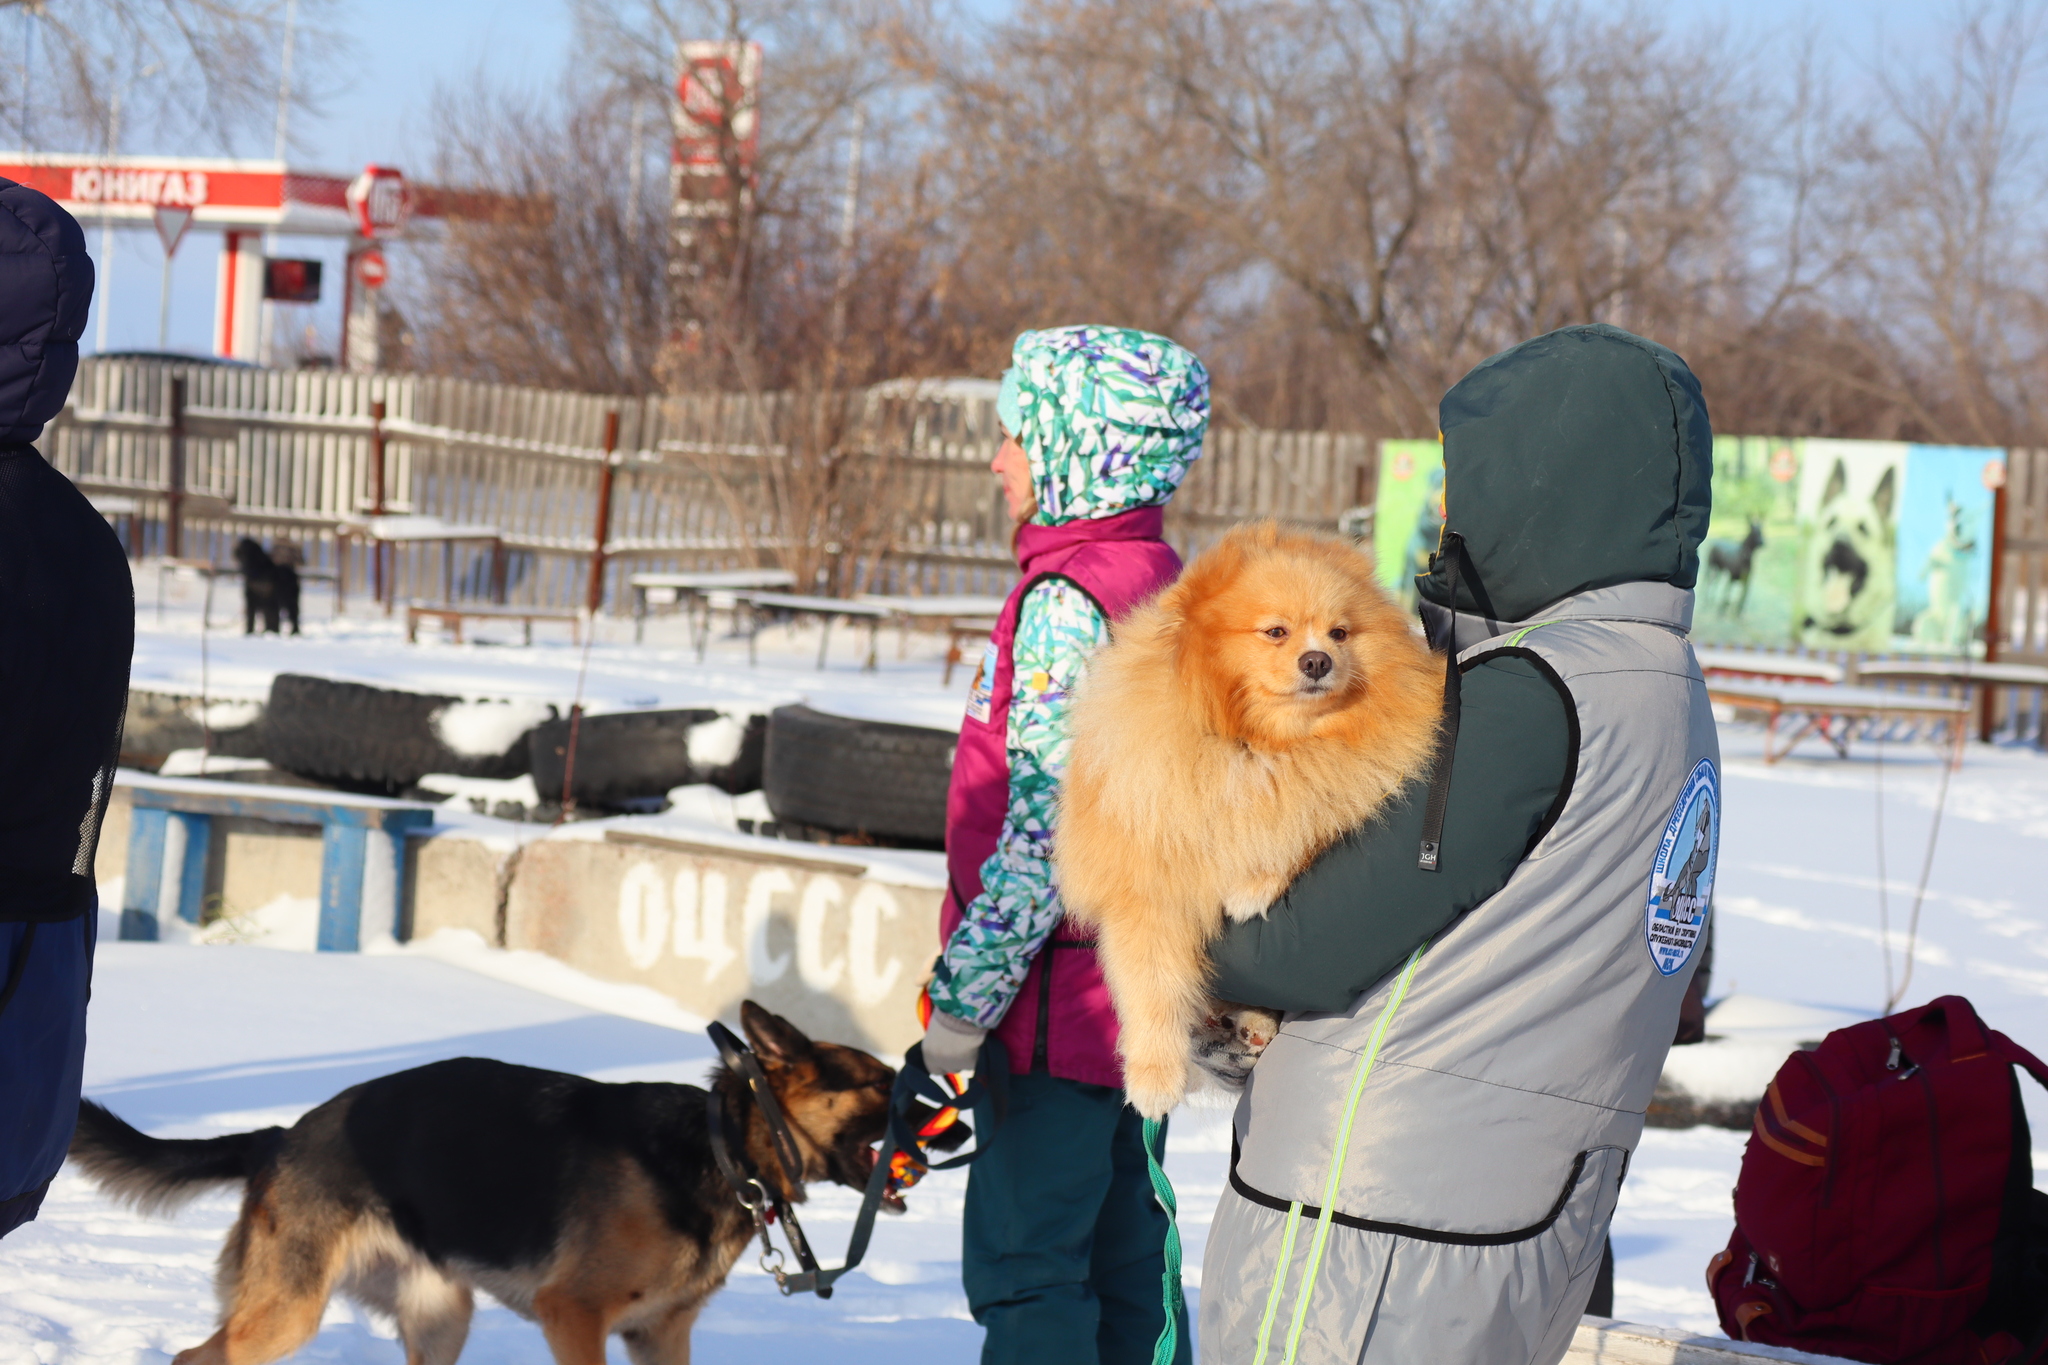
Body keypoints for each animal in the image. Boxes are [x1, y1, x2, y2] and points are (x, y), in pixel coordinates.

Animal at [68, 1002, 897, 1365]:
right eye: (882, 1081)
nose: (938, 1123)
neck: (719, 1149)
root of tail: (281, 1136)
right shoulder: (574, 1315)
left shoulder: (661, 1335)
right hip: (289, 1312)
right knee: (194, 1358)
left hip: (441, 1319)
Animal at [1056, 517, 1441, 1113]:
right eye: (1276, 632)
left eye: (1339, 634)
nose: (1317, 661)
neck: (1261, 747)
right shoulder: (1147, 888)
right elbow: (1153, 985)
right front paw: (1153, 1078)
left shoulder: (1330, 788)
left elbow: (1304, 823)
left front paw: (1255, 882)